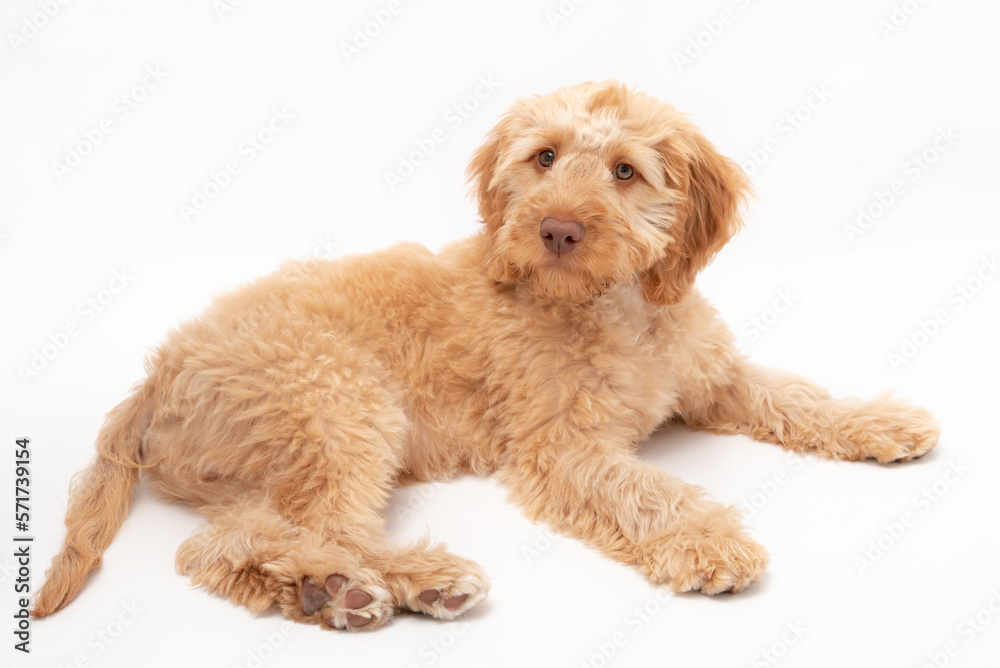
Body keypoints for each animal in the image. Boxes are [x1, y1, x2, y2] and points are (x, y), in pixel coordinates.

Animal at [31, 81, 936, 628]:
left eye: (625, 171)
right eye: (543, 157)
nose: (557, 228)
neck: (617, 308)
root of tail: (155, 373)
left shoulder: (712, 377)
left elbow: (791, 392)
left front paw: (878, 420)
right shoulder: (559, 446)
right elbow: (648, 488)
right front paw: (707, 541)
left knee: (227, 545)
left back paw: (329, 591)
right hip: (341, 406)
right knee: (280, 535)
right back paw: (396, 581)